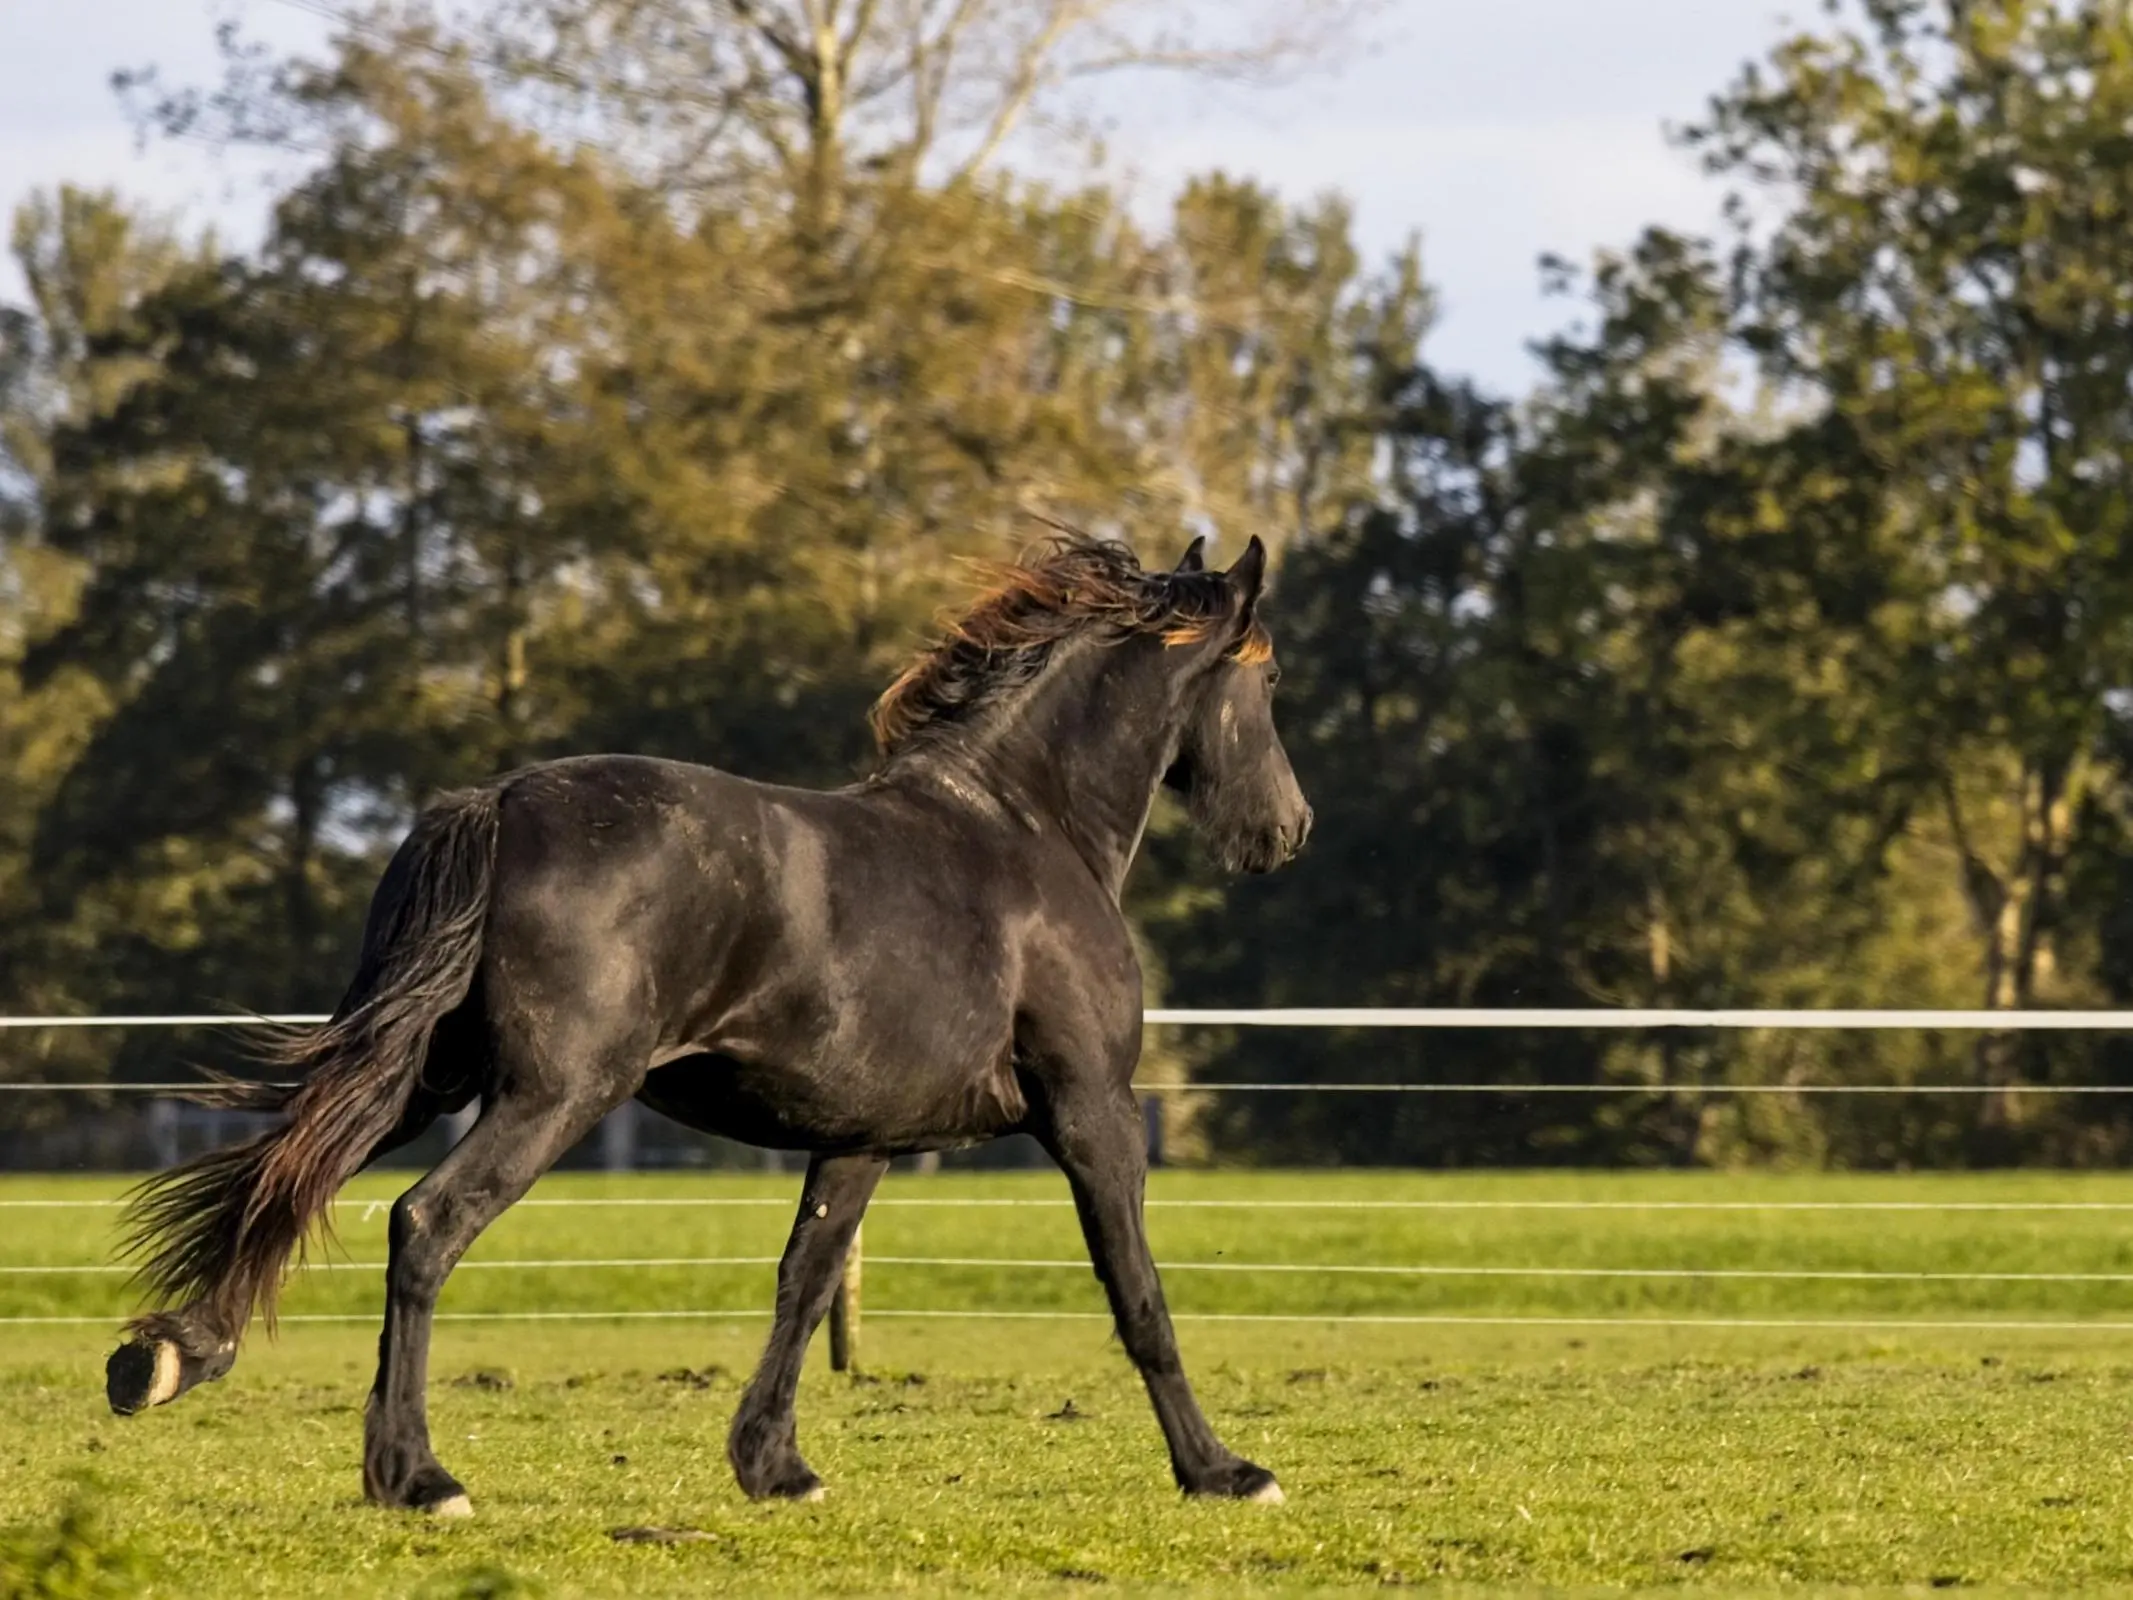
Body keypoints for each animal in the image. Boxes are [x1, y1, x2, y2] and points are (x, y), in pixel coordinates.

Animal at [108, 535, 1305, 1518]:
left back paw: (166, 1359)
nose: (1285, 830)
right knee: (424, 1222)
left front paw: (775, 1466)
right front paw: (1223, 1471)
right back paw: (418, 1477)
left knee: (290, 1176)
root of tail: (499, 803)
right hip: (553, 1094)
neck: (1026, 832)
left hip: (419, 1077)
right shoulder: (1091, 1112)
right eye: (1270, 678)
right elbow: (1139, 1295)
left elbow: (804, 1282)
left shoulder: (863, 1138)